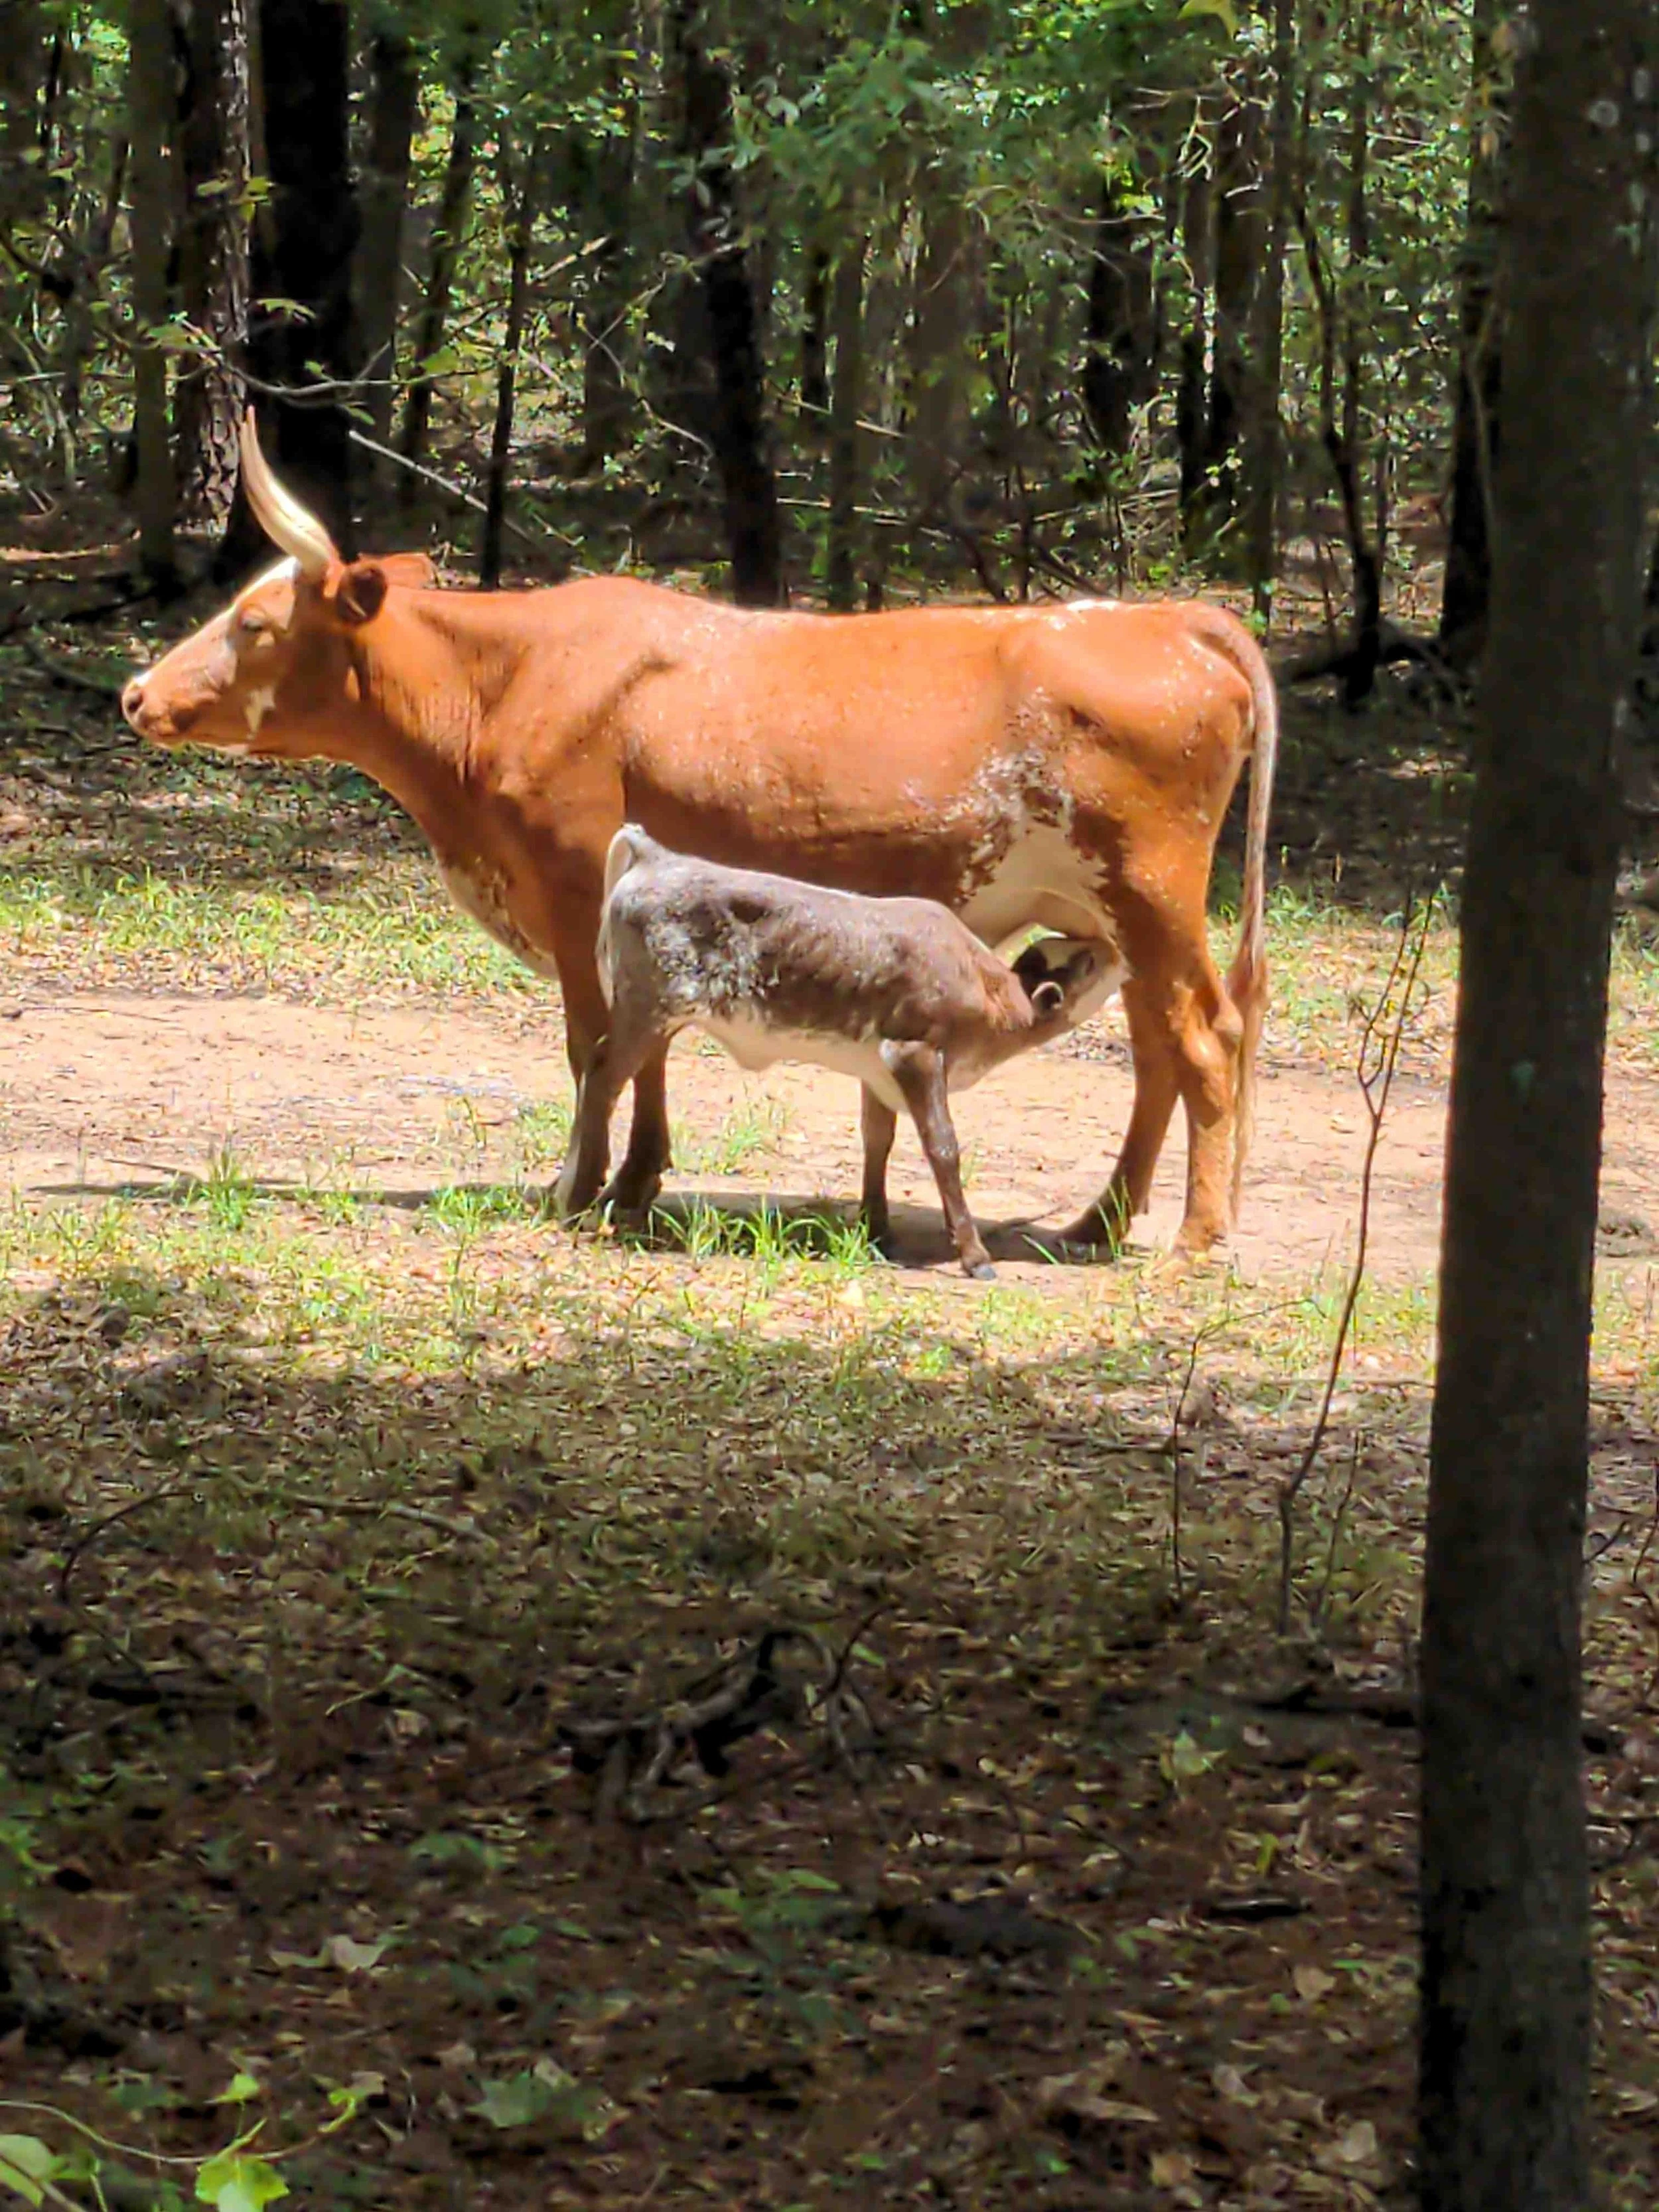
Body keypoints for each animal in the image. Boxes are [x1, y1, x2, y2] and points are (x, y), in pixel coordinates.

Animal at [573, 825, 1121, 1277]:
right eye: (1087, 962)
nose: (1117, 950)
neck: (985, 987)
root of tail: (659, 856)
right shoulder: (915, 1053)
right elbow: (943, 1146)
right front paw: (973, 1254)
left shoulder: (878, 1069)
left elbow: (878, 1139)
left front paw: (878, 1230)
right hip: (648, 1010)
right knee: (601, 1078)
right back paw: (577, 1198)